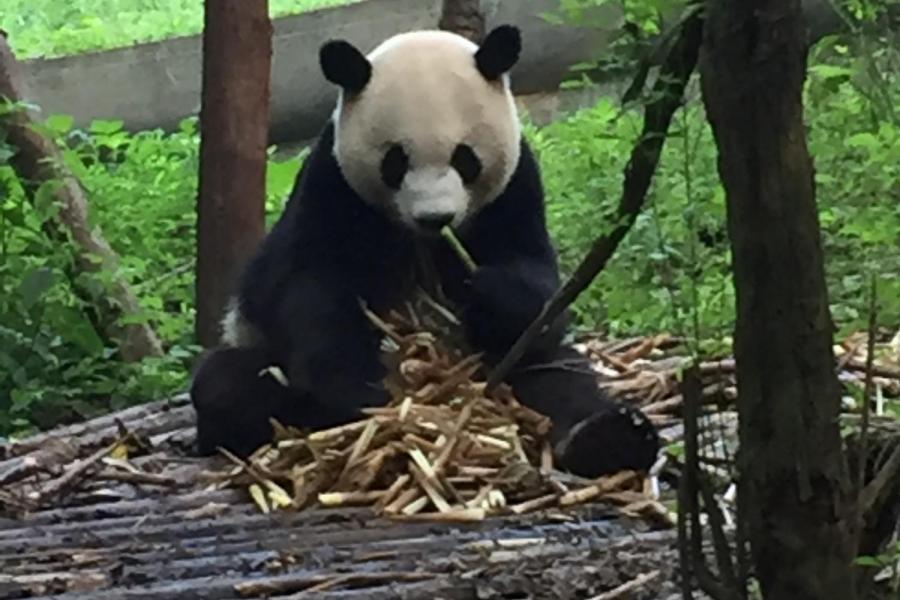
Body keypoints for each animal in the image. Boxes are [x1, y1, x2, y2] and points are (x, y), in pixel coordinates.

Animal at [190, 24, 656, 478]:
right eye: (395, 161)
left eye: (465, 158)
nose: (436, 217)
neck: (423, 240)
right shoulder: (332, 188)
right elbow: (308, 288)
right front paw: (355, 391)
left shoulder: (516, 188)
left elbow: (540, 284)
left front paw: (485, 286)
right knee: (228, 385)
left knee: (558, 375)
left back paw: (609, 438)